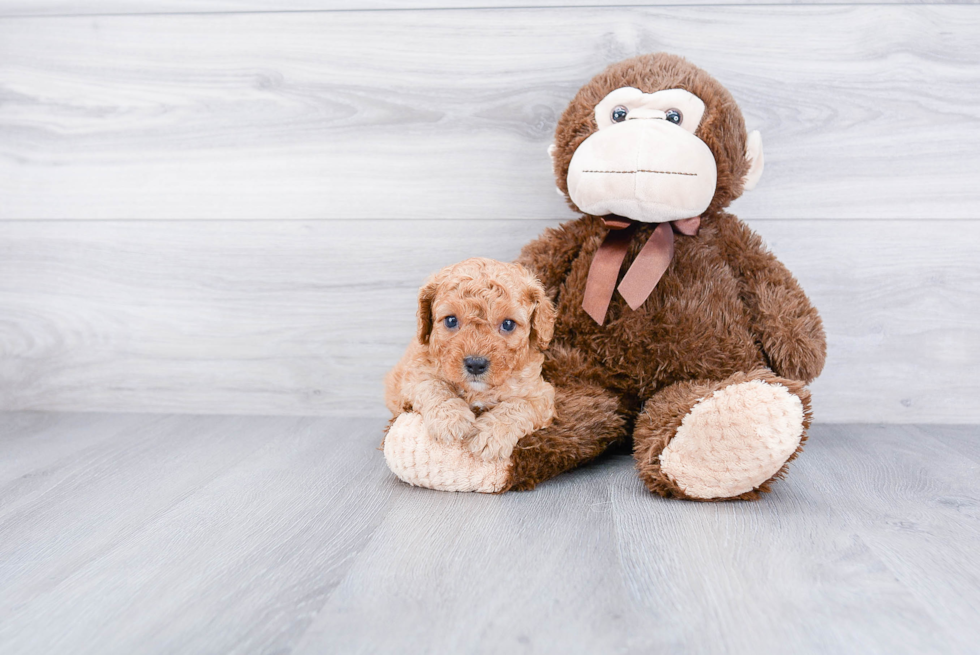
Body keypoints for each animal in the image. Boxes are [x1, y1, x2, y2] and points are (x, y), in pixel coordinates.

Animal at [382, 258, 556, 462]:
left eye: (508, 324)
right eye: (450, 320)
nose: (476, 364)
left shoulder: (541, 395)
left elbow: (518, 406)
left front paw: (489, 435)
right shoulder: (414, 375)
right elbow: (434, 385)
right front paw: (450, 418)